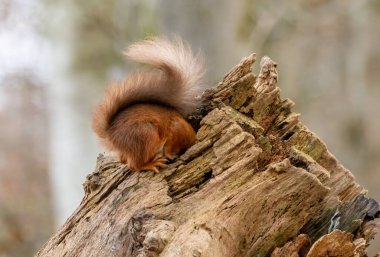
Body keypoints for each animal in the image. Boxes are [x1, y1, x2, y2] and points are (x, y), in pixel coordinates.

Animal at [91, 37, 205, 172]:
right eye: (173, 144)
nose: (171, 155)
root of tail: (111, 134)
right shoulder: (173, 133)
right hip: (145, 135)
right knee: (134, 165)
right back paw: (151, 164)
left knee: (124, 160)